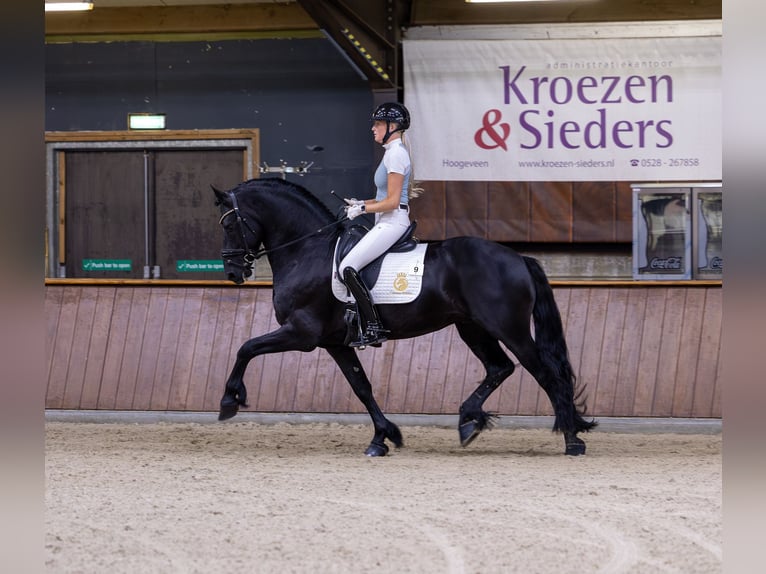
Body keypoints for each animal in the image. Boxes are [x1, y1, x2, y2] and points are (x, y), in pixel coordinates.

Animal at [213, 177, 597, 456]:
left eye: (230, 226)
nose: (233, 272)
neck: (307, 251)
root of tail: (518, 258)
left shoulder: (301, 333)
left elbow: (246, 347)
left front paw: (229, 401)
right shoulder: (335, 343)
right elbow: (361, 387)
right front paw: (383, 437)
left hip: (509, 328)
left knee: (545, 373)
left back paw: (572, 440)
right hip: (472, 327)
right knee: (500, 368)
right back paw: (469, 421)